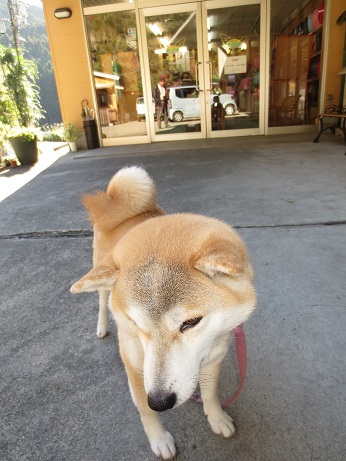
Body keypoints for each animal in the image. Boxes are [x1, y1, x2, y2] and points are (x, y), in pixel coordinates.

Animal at [70, 167, 255, 458]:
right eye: (136, 323)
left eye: (191, 322)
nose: (160, 401)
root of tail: (116, 205)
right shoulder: (135, 366)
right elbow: (145, 412)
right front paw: (159, 439)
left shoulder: (215, 354)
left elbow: (210, 393)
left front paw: (217, 418)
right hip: (100, 272)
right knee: (102, 300)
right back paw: (102, 326)